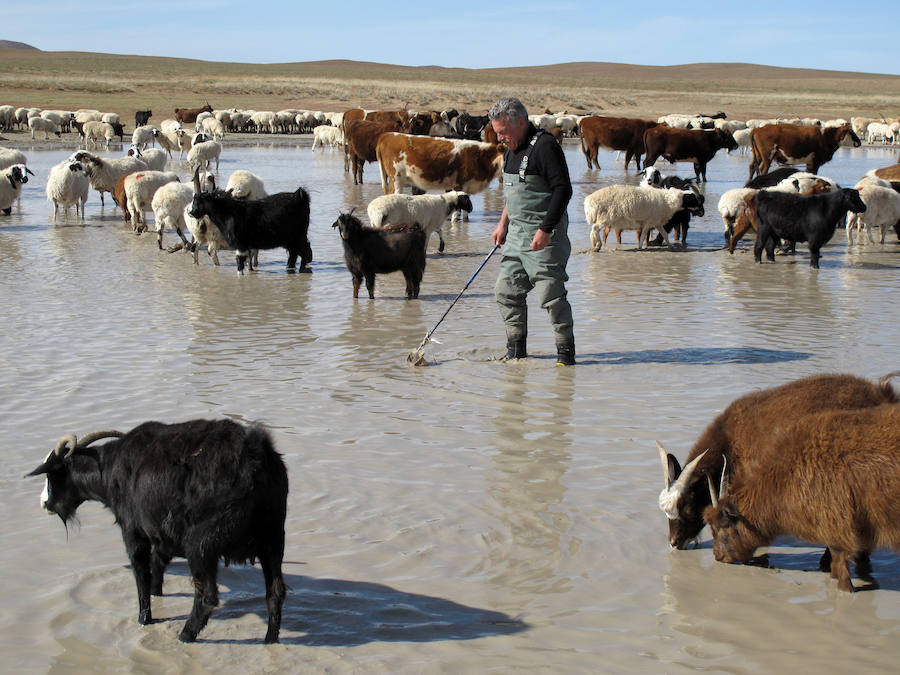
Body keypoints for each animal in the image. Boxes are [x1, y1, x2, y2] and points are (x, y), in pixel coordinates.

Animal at [26, 418, 288, 644]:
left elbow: (141, 573)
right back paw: (270, 639)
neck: (109, 469)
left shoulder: (133, 532)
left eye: (52, 474)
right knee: (275, 592)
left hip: (201, 545)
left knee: (207, 596)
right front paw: (157, 593)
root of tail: (256, 459)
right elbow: (157, 564)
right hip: (273, 539)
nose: (44, 503)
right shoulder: (162, 534)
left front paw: (144, 619)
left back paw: (186, 635)